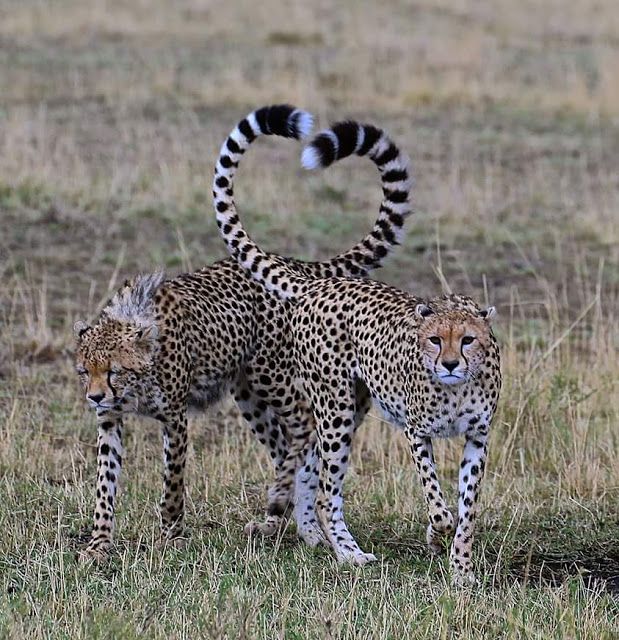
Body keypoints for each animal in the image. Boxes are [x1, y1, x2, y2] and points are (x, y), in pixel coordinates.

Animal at [74, 104, 413, 560]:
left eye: (113, 371)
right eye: (84, 371)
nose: (94, 396)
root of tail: (297, 265)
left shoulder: (175, 417)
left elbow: (172, 484)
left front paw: (170, 536)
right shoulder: (110, 422)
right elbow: (104, 486)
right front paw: (97, 544)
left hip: (271, 375)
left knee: (303, 427)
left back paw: (282, 504)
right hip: (248, 393)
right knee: (291, 447)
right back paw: (290, 525)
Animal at [214, 123, 502, 585]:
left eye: (468, 340)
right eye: (434, 340)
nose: (450, 364)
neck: (457, 388)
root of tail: (320, 283)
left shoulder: (477, 438)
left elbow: (467, 511)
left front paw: (461, 570)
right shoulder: (416, 431)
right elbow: (439, 502)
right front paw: (437, 533)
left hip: (352, 405)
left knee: (311, 469)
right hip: (335, 408)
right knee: (327, 491)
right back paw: (349, 554)